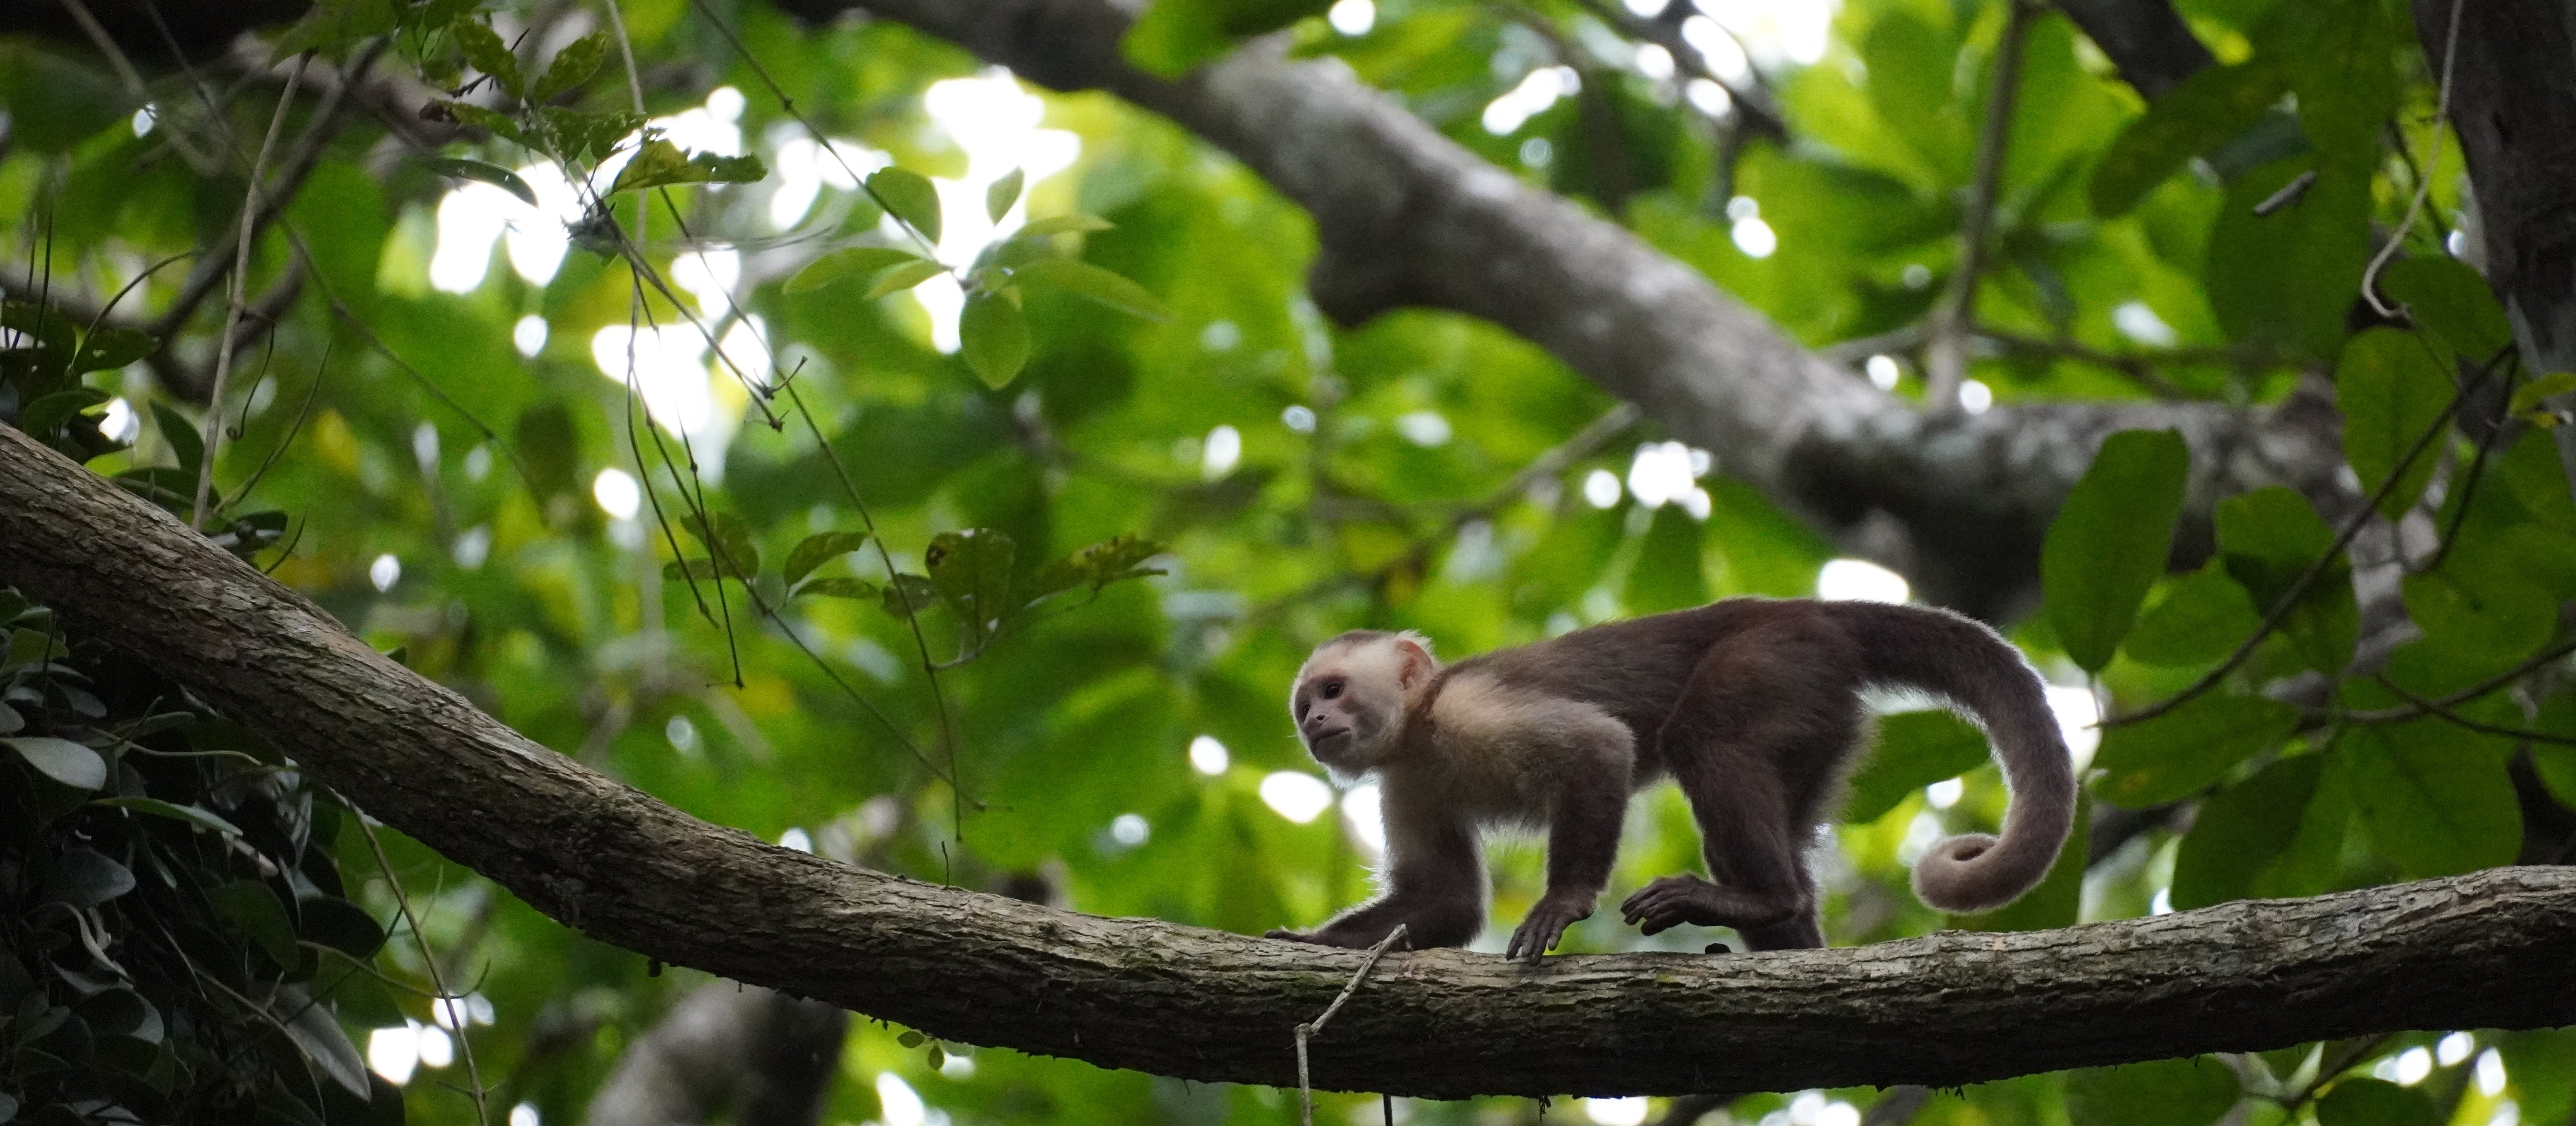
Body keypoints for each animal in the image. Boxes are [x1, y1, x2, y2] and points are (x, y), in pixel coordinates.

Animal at [1267, 597, 2075, 963]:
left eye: (1333, 690)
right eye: (1305, 706)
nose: (1314, 723)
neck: (1423, 724)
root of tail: (1804, 607)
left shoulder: (1470, 709)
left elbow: (1600, 747)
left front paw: (1564, 900)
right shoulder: (1405, 778)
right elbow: (1447, 899)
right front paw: (1310, 943)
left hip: (1779, 657)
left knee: (1705, 740)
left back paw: (1762, 897)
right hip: (1819, 710)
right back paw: (1789, 939)